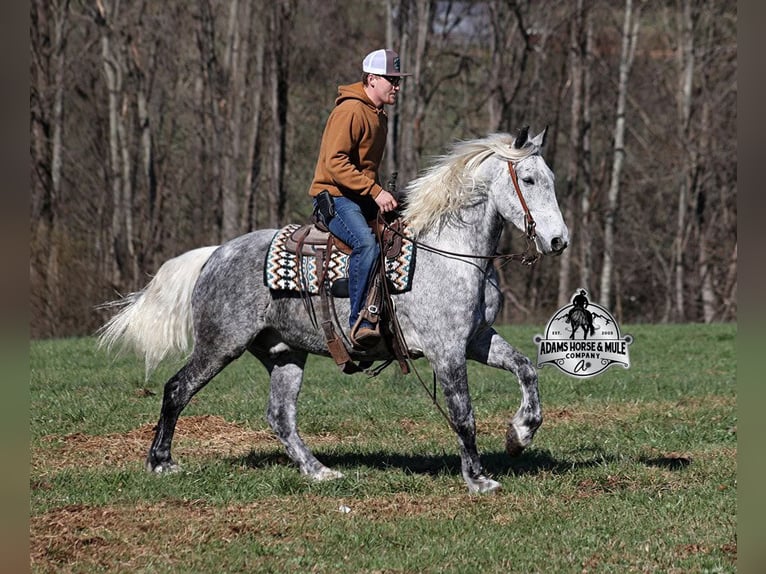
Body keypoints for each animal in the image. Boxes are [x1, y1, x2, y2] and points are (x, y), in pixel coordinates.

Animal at [98, 127, 569, 494]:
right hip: (220, 345)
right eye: (528, 179)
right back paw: (161, 461)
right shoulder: (447, 350)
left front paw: (519, 434)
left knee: (280, 417)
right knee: (177, 389)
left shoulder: (476, 339)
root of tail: (214, 254)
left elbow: (527, 369)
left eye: (551, 179)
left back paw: (319, 472)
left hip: (284, 353)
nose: (558, 240)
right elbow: (463, 414)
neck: (450, 252)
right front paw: (478, 479)